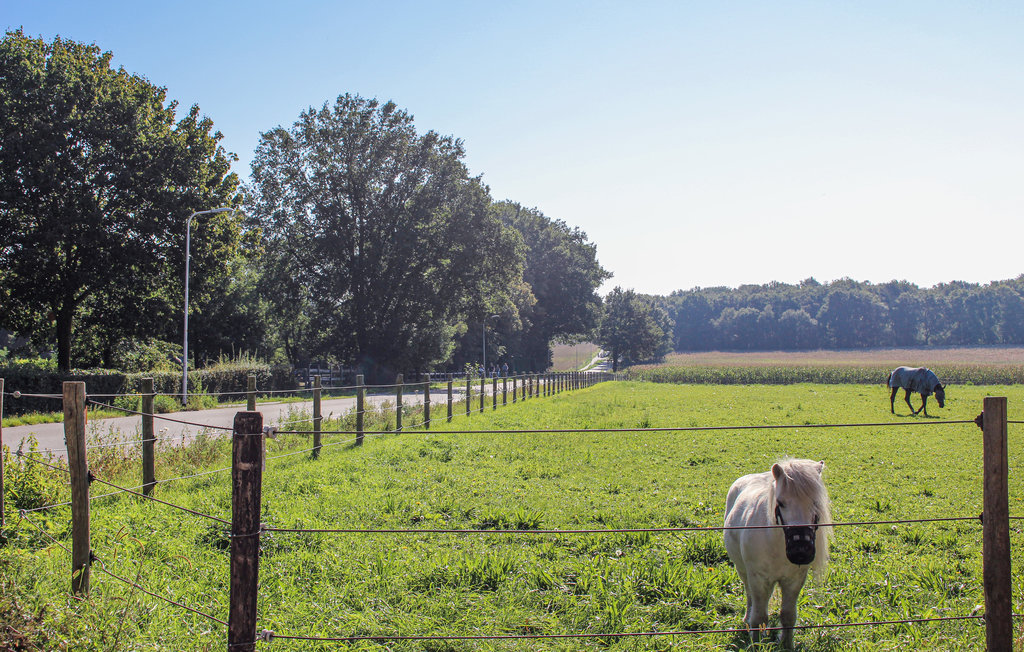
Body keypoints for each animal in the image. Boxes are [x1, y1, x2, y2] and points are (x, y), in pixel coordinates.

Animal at [720, 458, 831, 646]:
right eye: (781, 502)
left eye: (815, 502)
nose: (800, 550)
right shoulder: (758, 578)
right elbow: (758, 617)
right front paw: (756, 644)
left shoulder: (794, 580)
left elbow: (788, 616)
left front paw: (786, 645)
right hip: (743, 571)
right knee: (749, 595)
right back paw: (747, 619)